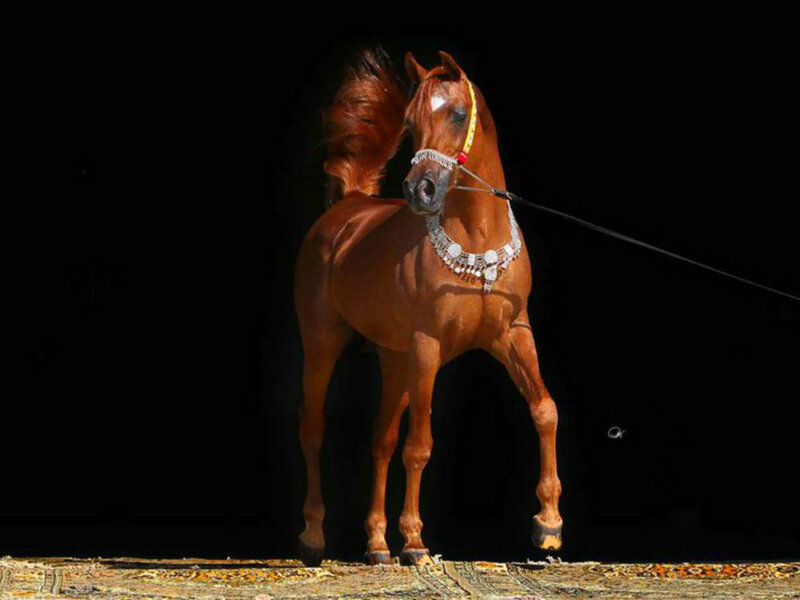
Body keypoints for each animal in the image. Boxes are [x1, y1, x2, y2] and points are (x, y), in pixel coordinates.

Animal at [294, 48, 563, 566]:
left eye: (458, 114)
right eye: (410, 123)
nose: (421, 191)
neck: (476, 241)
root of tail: (348, 208)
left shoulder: (514, 334)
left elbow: (544, 409)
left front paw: (548, 524)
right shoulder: (428, 348)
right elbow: (419, 445)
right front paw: (416, 541)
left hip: (394, 359)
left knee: (380, 440)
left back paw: (377, 545)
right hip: (323, 345)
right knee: (313, 429)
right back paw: (314, 535)